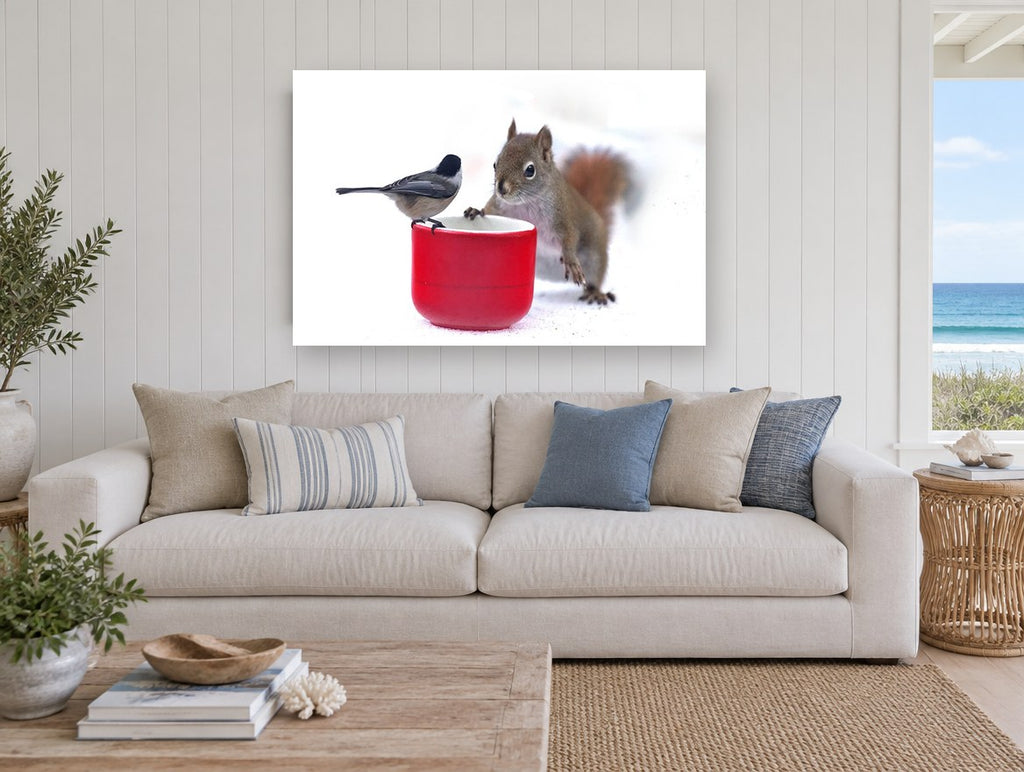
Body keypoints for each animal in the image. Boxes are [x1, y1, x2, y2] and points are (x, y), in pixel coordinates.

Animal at [464, 119, 630, 305]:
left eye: (530, 170)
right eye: (495, 164)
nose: (501, 189)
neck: (526, 204)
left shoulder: (563, 217)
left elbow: (570, 237)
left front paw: (571, 261)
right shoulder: (498, 206)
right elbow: (488, 210)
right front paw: (477, 211)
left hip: (595, 256)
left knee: (595, 279)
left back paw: (595, 293)